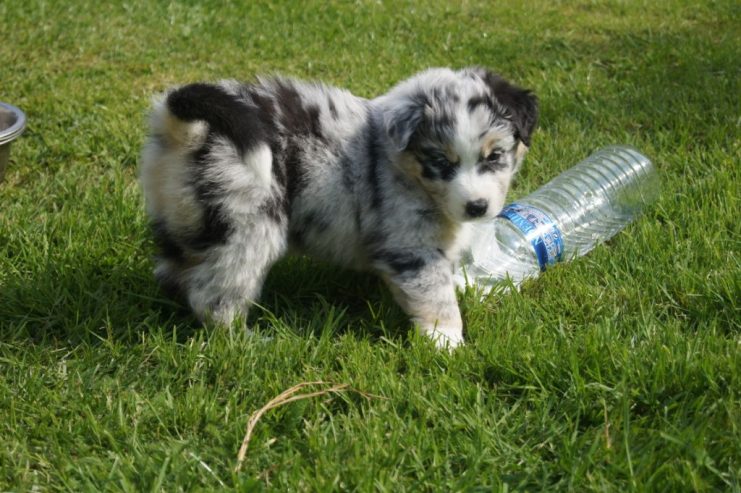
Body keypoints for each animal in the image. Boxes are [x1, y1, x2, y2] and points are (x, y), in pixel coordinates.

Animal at [139, 67, 536, 348]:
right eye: (440, 162)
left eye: (495, 156)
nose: (477, 207)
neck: (402, 166)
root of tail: (189, 133)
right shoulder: (410, 246)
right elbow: (435, 294)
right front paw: (447, 341)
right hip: (247, 229)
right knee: (213, 295)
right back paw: (250, 341)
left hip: (189, 221)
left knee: (175, 271)